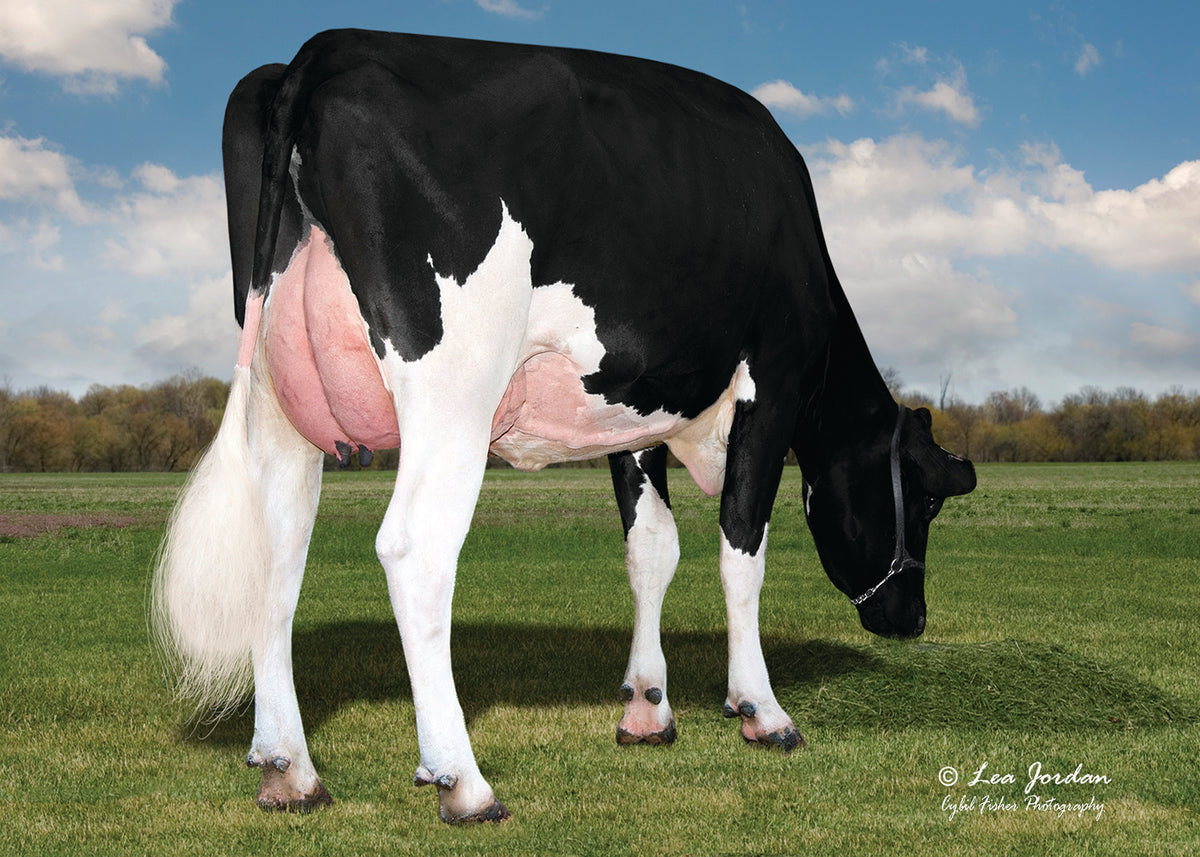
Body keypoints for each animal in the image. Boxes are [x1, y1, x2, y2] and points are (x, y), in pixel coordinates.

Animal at [151, 29, 977, 824]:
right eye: (929, 499)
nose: (912, 618)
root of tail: (320, 50)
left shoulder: (633, 407)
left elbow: (652, 550)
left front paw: (647, 708)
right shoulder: (769, 387)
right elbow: (741, 549)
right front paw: (761, 709)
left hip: (278, 398)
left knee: (276, 554)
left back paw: (290, 769)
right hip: (453, 386)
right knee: (415, 550)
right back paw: (463, 781)